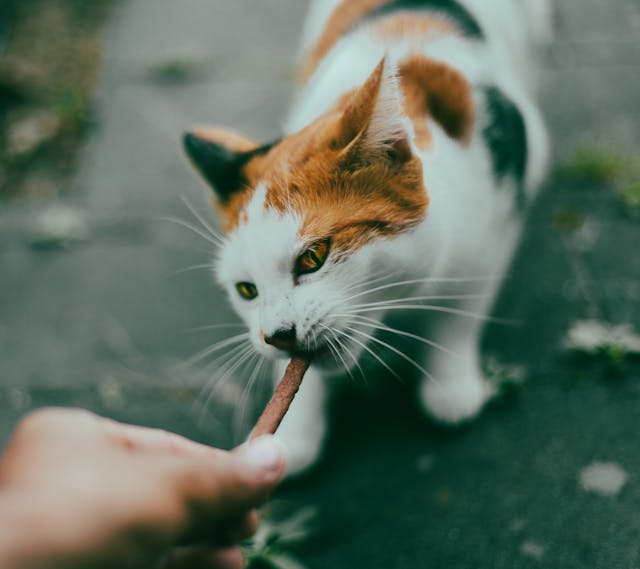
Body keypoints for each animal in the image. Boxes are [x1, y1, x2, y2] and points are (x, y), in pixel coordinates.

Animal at [184, 0, 552, 474]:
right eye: (246, 289)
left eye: (313, 256)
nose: (277, 334)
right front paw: (293, 433)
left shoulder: (492, 232)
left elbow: (461, 311)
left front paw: (450, 386)